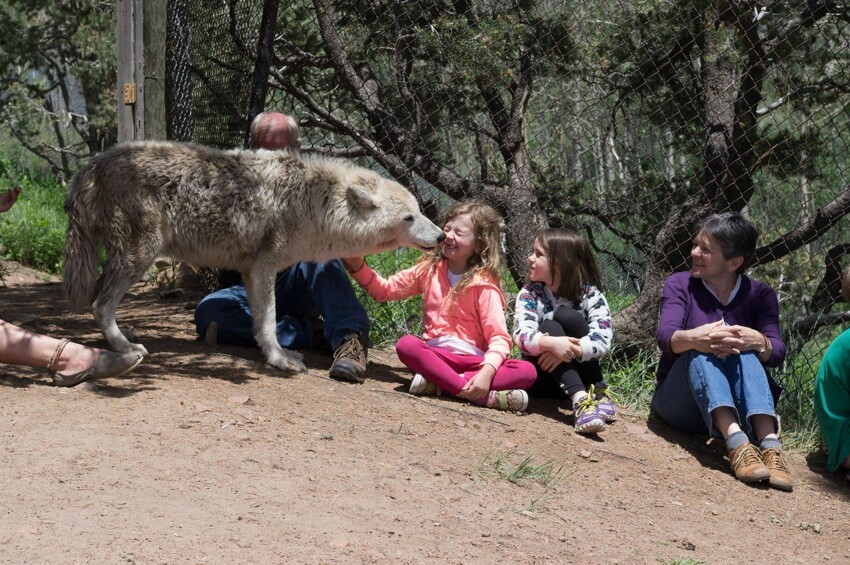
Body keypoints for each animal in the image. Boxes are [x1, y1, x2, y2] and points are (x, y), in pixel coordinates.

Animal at [64, 140, 444, 370]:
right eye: (409, 218)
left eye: (418, 212)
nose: (441, 235)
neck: (317, 202)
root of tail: (89, 167)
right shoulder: (264, 267)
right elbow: (269, 321)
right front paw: (278, 359)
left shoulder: (253, 271)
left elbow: (262, 321)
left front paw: (279, 353)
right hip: (138, 257)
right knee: (99, 304)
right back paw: (125, 350)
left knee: (100, 298)